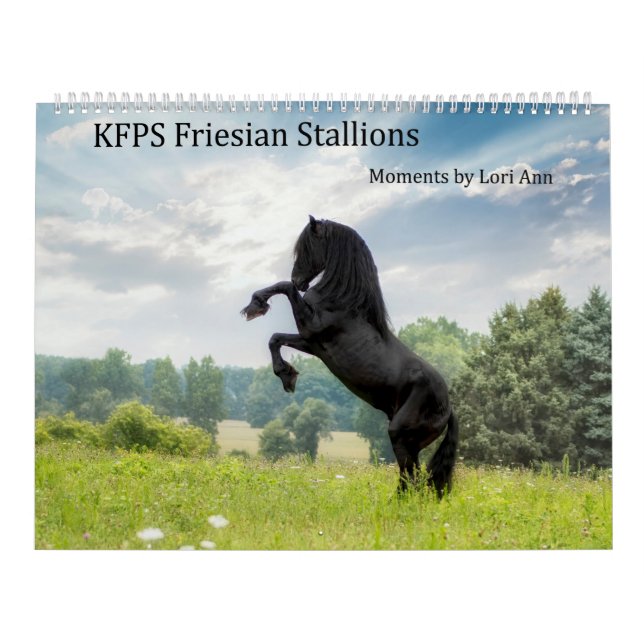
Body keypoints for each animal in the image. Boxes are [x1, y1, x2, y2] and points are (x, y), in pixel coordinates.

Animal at [241, 215, 458, 497]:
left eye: (307, 247)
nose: (298, 278)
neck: (342, 302)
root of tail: (448, 409)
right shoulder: (312, 343)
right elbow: (276, 338)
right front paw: (288, 376)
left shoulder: (312, 328)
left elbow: (285, 289)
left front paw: (257, 305)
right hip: (412, 445)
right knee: (414, 480)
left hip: (401, 436)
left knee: (409, 479)